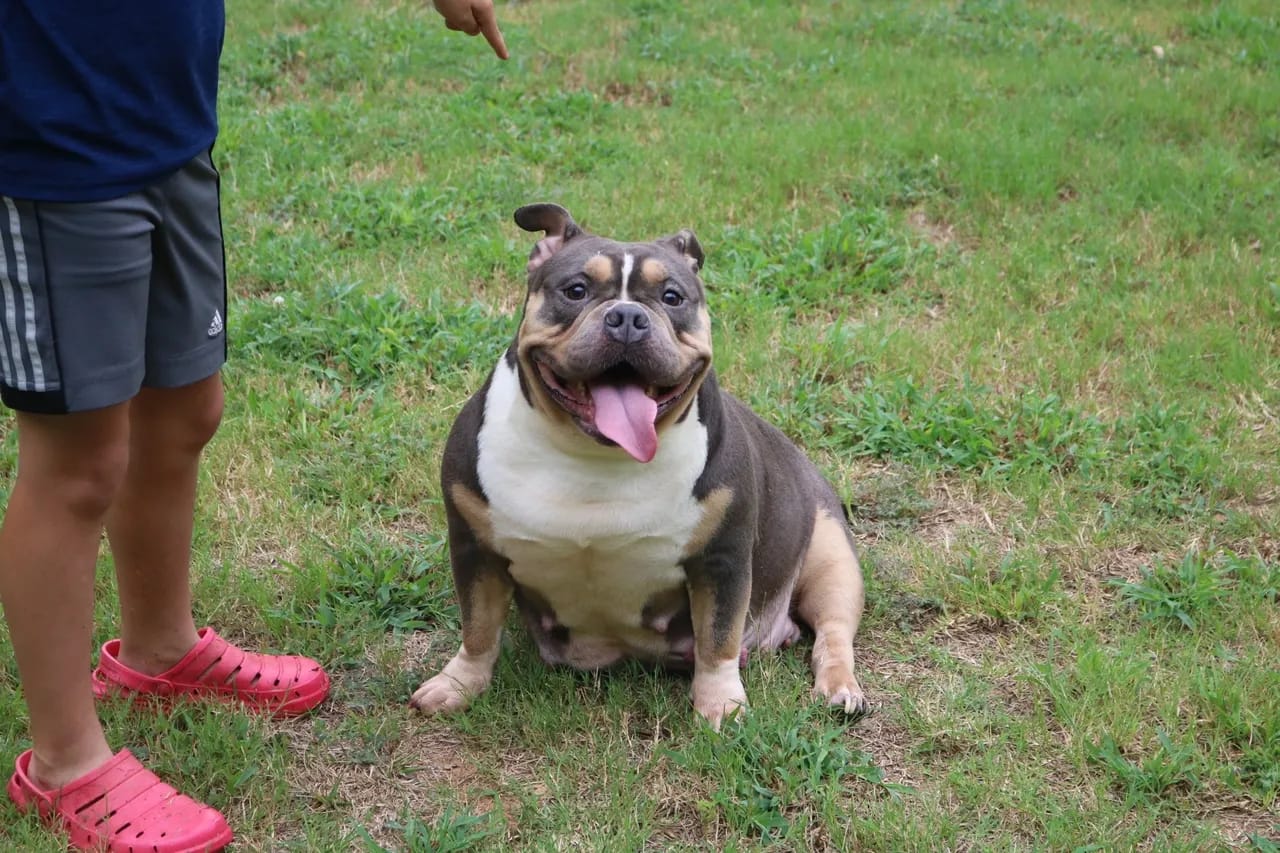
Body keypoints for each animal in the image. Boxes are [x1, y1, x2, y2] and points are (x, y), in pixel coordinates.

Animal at [409, 201, 870, 722]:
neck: (591, 454)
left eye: (672, 297)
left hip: (834, 559)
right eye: (576, 290)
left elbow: (718, 636)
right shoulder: (476, 548)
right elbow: (479, 626)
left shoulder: (722, 560)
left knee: (832, 631)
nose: (627, 316)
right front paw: (459, 683)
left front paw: (720, 704)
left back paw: (839, 687)